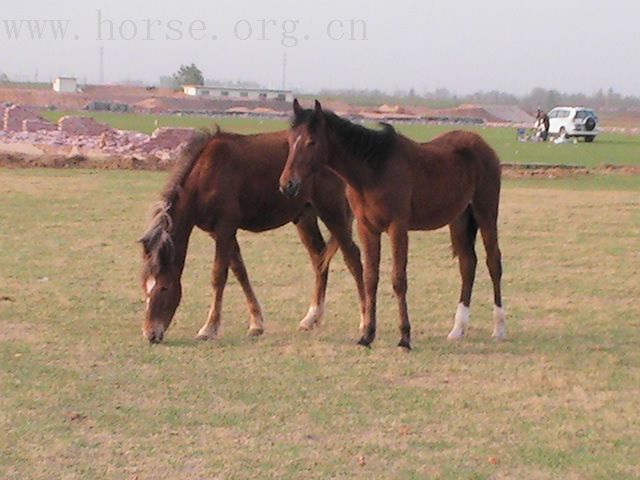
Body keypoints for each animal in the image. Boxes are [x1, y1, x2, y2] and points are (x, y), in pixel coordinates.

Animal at [142, 129, 364, 344]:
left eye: (164, 287)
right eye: (146, 288)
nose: (150, 334)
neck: (206, 174)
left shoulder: (225, 229)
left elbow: (218, 276)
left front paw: (209, 328)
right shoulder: (220, 233)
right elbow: (240, 272)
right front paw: (256, 324)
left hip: (333, 212)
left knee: (352, 257)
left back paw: (364, 321)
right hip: (305, 217)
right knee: (319, 259)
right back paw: (311, 318)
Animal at [280, 100, 504, 348]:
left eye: (311, 141)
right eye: (291, 140)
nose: (287, 184)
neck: (372, 171)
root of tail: (483, 146)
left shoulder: (397, 228)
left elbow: (398, 279)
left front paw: (405, 337)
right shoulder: (367, 229)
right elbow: (370, 278)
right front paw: (367, 335)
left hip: (485, 213)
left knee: (493, 262)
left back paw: (498, 328)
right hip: (460, 219)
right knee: (467, 264)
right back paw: (458, 329)